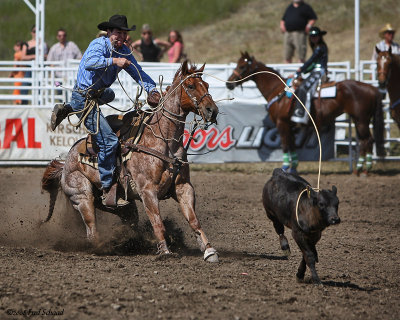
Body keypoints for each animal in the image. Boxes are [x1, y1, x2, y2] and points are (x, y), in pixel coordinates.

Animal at [40, 60, 219, 262]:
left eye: (207, 85)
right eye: (190, 86)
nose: (212, 111)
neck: (163, 140)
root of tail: (65, 164)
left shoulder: (184, 187)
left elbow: (194, 220)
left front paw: (208, 250)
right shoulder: (147, 191)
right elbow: (157, 222)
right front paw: (165, 251)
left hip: (120, 206)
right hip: (82, 197)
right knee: (91, 230)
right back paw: (105, 247)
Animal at [227, 52, 386, 175]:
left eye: (242, 66)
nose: (228, 83)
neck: (278, 91)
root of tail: (372, 88)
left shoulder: (281, 123)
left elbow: (285, 145)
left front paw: (285, 167)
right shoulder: (290, 126)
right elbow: (292, 145)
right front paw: (293, 168)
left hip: (362, 120)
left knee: (368, 140)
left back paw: (364, 170)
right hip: (358, 120)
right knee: (364, 141)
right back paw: (359, 169)